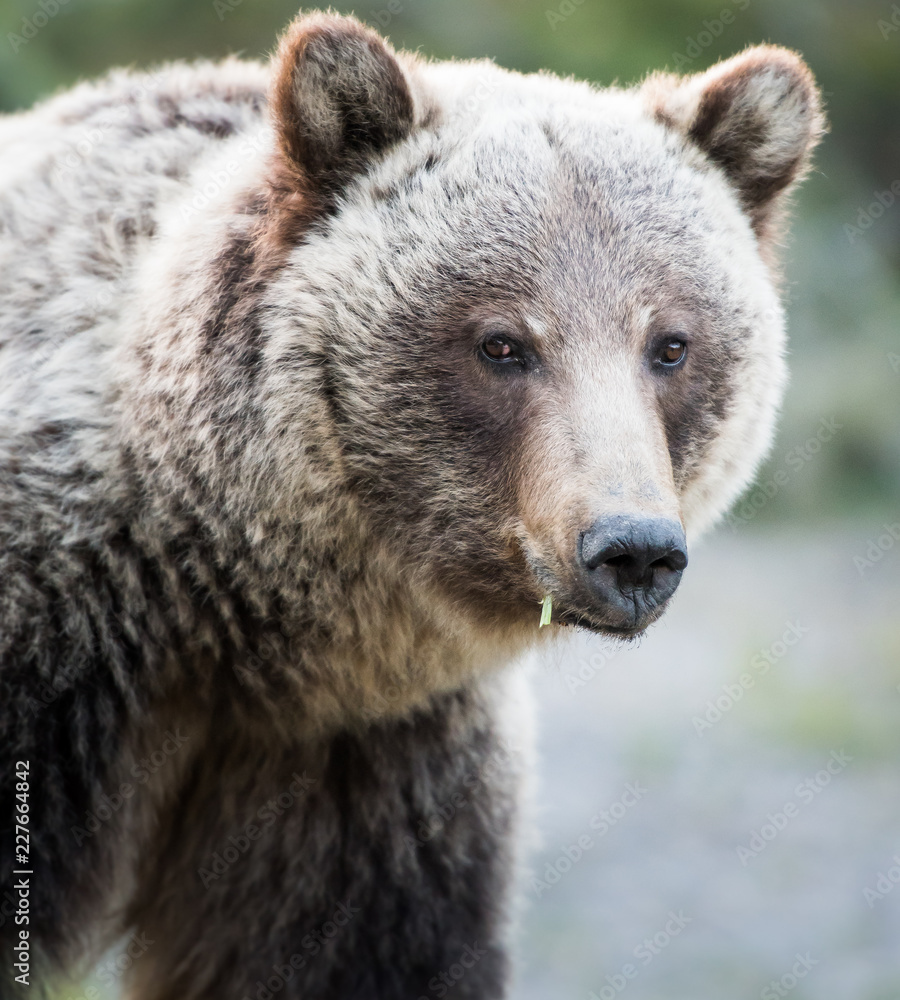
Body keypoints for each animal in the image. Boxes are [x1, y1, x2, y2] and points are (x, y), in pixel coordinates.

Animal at [0, 10, 823, 999]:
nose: (632, 548)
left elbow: (356, 950)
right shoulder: (51, 662)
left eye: (671, 344)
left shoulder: (368, 760)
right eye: (502, 342)